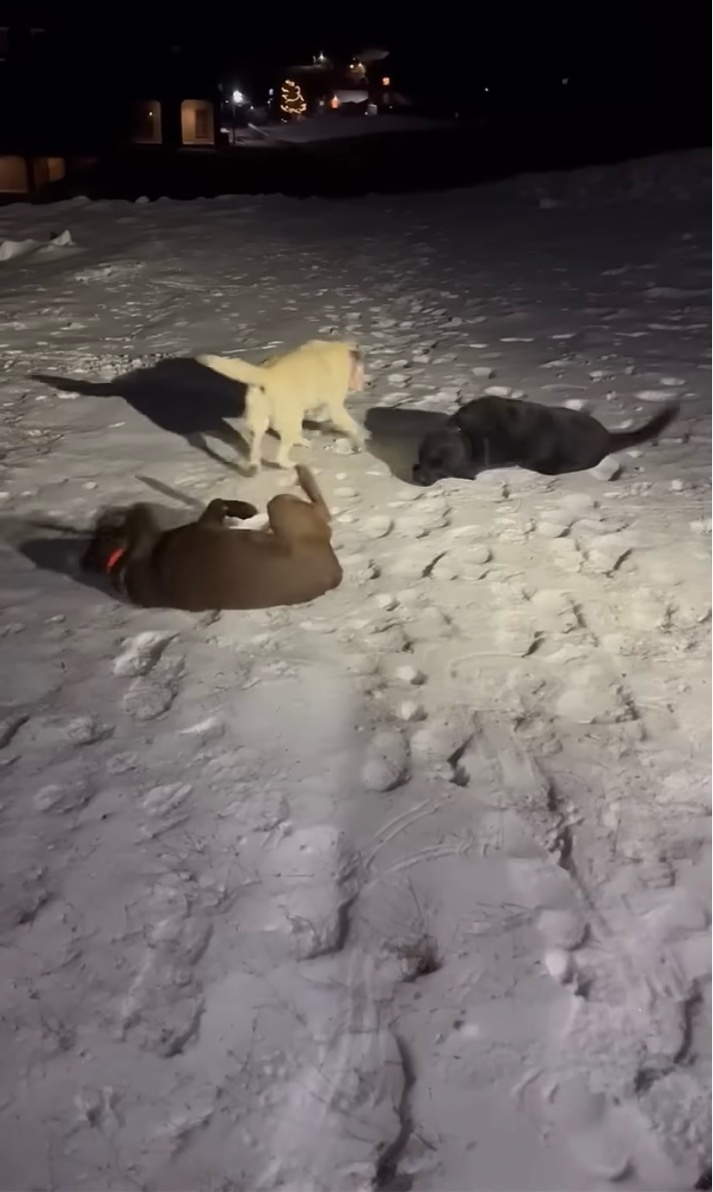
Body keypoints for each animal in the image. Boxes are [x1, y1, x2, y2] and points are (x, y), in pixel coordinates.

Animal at [81, 464, 343, 615]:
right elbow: (218, 501)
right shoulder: (206, 523)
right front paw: (245, 509)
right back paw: (302, 473)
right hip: (281, 506)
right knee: (323, 510)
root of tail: (334, 575)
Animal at [195, 340, 367, 469]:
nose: (367, 383)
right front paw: (359, 438)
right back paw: (292, 463)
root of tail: (267, 375)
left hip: (260, 419)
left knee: (256, 441)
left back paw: (255, 465)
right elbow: (345, 422)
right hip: (290, 418)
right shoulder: (335, 404)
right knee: (281, 455)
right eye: (360, 370)